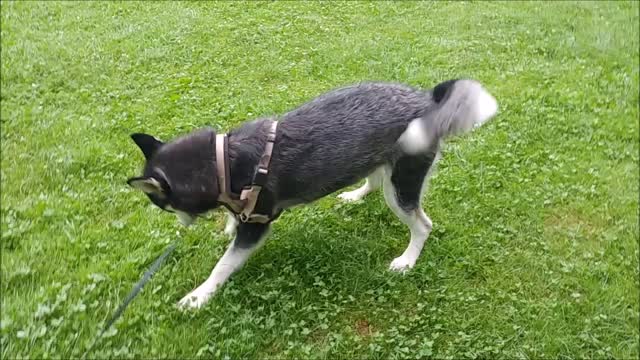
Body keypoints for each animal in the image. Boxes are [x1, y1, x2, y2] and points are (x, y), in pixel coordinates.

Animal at [129, 79, 500, 310]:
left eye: (162, 204)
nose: (181, 224)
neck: (221, 161)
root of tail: (426, 99)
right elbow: (234, 220)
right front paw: (228, 224)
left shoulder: (258, 225)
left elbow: (222, 266)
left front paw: (199, 296)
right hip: (377, 163)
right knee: (373, 180)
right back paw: (355, 195)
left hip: (402, 186)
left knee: (422, 225)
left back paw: (407, 260)